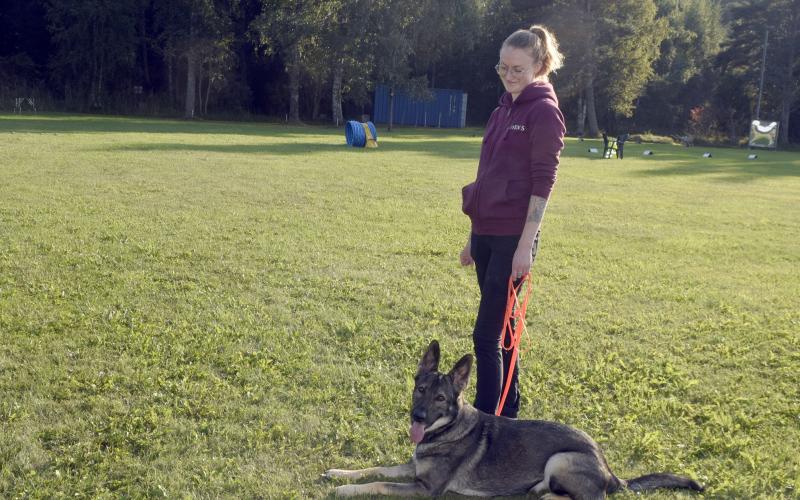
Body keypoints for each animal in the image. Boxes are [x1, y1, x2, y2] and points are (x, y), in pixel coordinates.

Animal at [322, 340, 704, 496]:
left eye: (440, 398)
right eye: (420, 389)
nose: (417, 417)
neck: (447, 430)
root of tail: (610, 470)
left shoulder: (425, 489)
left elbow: (378, 483)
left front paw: (344, 489)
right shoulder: (411, 468)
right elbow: (375, 468)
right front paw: (340, 473)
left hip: (561, 459)